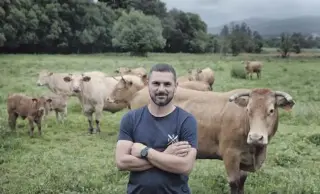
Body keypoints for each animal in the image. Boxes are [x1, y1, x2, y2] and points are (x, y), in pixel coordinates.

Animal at [107, 82, 296, 194]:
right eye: (248, 110)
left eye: (271, 110)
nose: (256, 137)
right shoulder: (230, 155)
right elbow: (234, 182)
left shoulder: (243, 159)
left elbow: (242, 182)